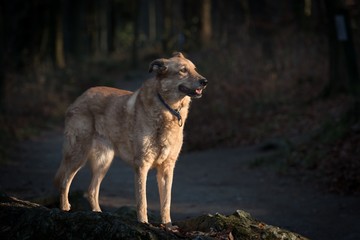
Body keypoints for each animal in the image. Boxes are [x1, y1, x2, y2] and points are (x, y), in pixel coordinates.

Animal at [54, 51, 210, 226]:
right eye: (183, 70)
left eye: (195, 68)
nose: (204, 82)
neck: (167, 109)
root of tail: (80, 96)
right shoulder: (141, 165)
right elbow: (142, 201)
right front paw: (143, 223)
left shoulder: (167, 167)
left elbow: (166, 202)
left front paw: (167, 225)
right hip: (78, 155)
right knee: (64, 182)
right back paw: (65, 209)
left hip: (103, 162)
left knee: (91, 190)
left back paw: (98, 214)